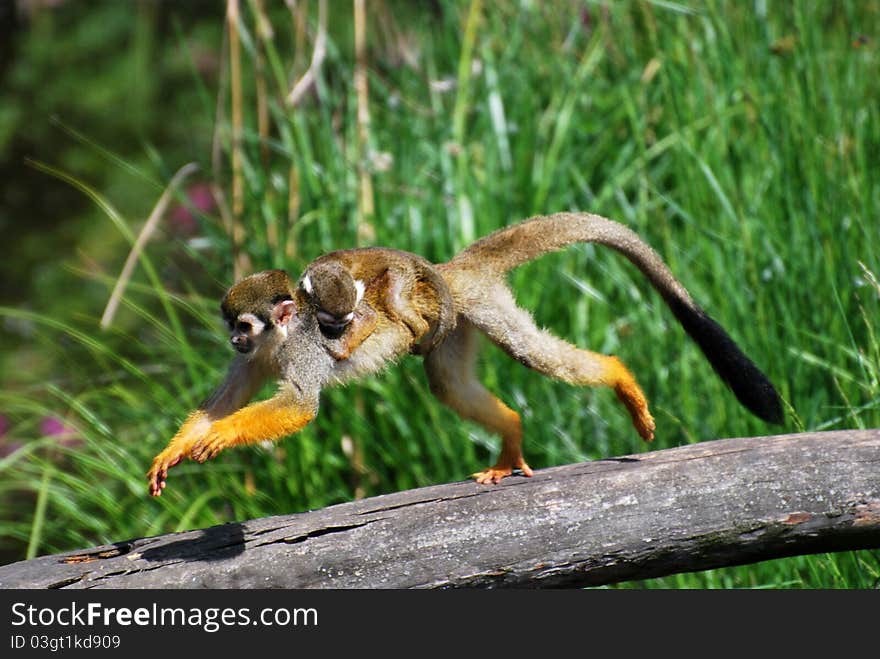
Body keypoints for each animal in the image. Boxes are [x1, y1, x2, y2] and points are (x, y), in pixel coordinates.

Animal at [150, 211, 784, 496]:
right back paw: (511, 432)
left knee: (531, 353)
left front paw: (217, 437)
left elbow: (301, 404)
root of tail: (448, 274)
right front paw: (177, 448)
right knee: (448, 384)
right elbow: (226, 396)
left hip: (479, 308)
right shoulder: (255, 359)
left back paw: (618, 377)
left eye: (244, 324)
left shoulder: (302, 349)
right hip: (452, 330)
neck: (279, 341)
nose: (233, 339)